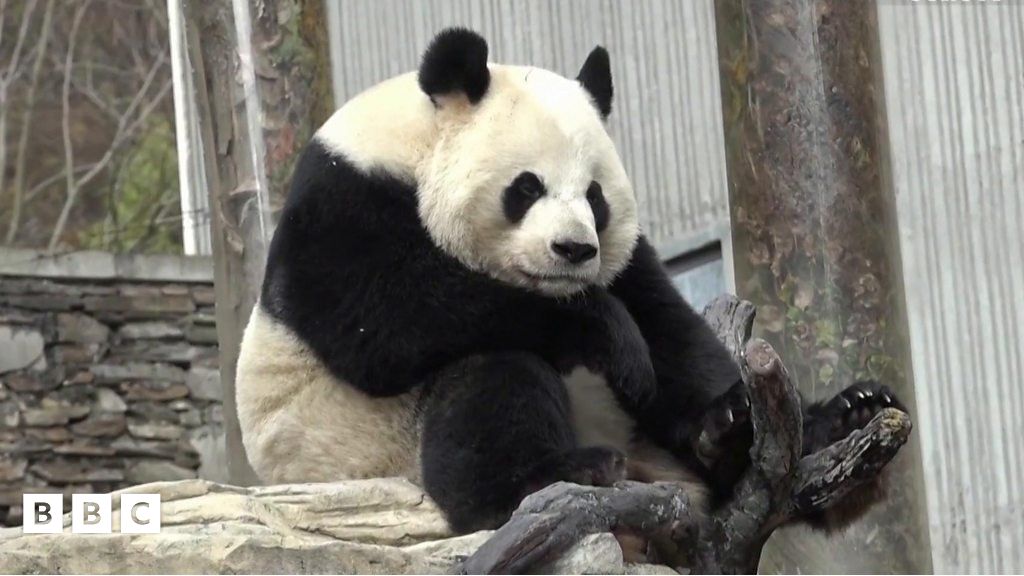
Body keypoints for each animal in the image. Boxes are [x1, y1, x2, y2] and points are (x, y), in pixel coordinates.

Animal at [234, 29, 905, 532]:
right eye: (526, 187)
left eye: (595, 197)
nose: (574, 250)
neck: (415, 140)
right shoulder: (346, 199)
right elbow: (380, 320)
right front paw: (609, 334)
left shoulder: (626, 261)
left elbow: (669, 327)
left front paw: (741, 413)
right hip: (376, 451)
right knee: (490, 374)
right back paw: (554, 474)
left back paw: (806, 422)